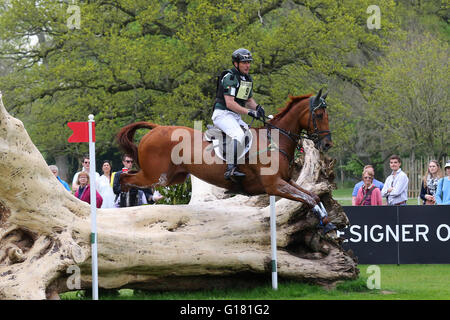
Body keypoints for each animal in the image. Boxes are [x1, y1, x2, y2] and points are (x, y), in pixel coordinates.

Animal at [118, 89, 336, 231]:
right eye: (318, 115)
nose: (327, 144)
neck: (274, 140)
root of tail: (156, 128)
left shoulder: (287, 181)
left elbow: (313, 196)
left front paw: (327, 222)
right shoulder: (275, 185)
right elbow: (309, 198)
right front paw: (325, 224)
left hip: (173, 178)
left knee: (129, 180)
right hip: (157, 177)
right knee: (124, 179)